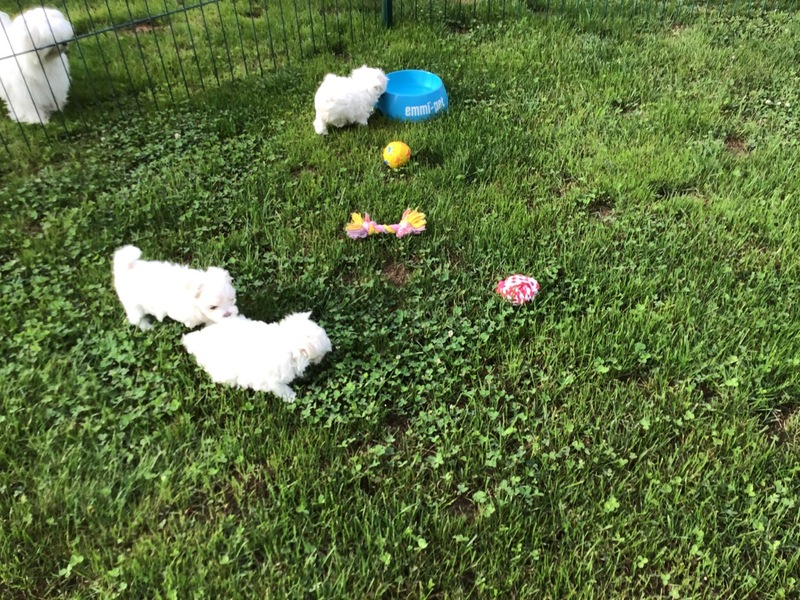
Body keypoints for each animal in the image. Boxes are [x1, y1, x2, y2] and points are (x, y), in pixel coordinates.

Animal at [182, 312, 332, 402]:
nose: (325, 355)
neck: (286, 343)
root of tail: (199, 341)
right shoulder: (274, 381)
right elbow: (281, 388)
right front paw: (291, 396)